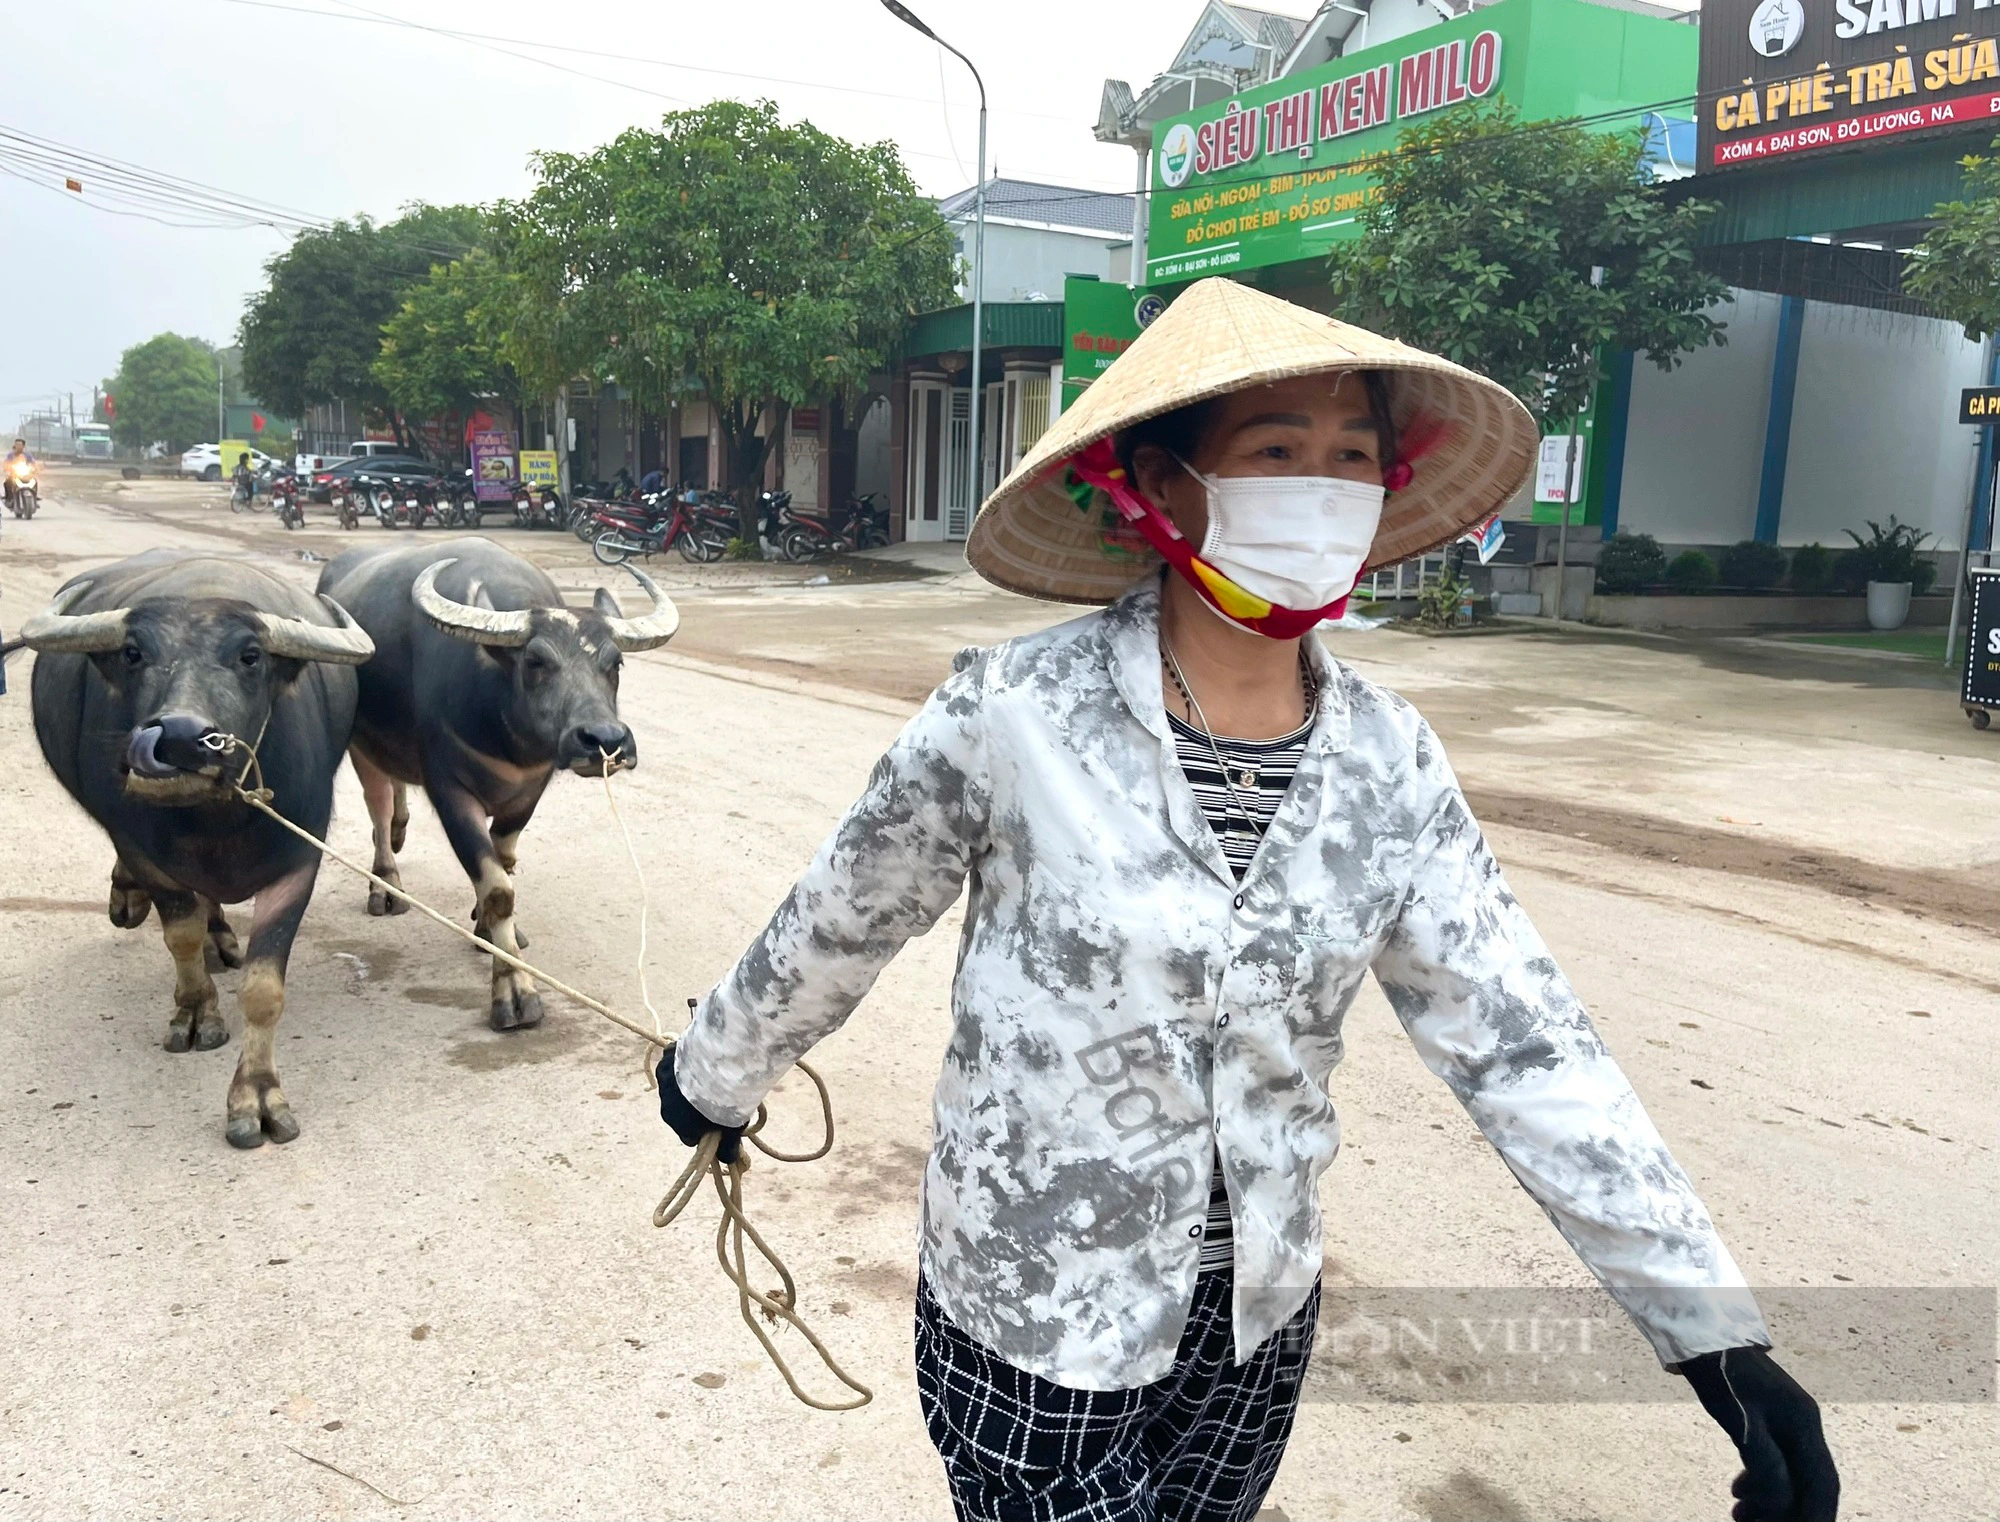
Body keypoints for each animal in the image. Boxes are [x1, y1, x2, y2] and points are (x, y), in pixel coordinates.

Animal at [23, 552, 376, 1144]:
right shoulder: (139, 846)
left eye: (250, 656)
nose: (182, 737)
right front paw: (194, 1014)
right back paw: (136, 905)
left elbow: (263, 988)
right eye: (133, 652)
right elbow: (180, 935)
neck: (215, 819)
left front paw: (257, 1098)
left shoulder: (299, 860)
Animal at [320, 540, 676, 1024]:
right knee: (377, 804)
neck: (505, 735)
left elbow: (503, 862)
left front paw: (487, 930)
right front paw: (514, 989)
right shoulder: (450, 791)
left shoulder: (528, 792)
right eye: (536, 661)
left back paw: (399, 830)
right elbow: (498, 889)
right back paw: (385, 885)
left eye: (615, 662)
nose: (605, 740)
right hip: (360, 742)